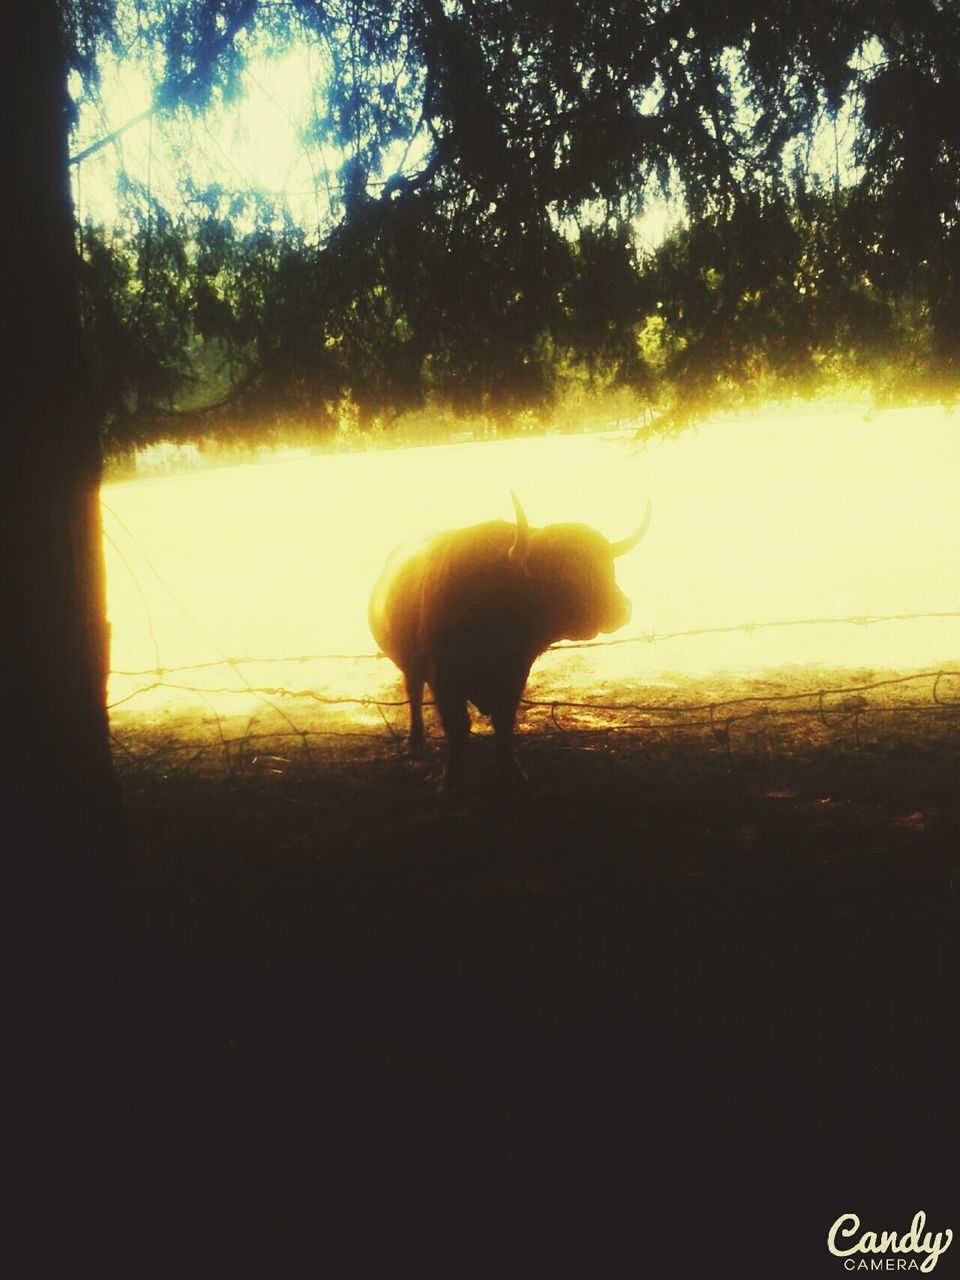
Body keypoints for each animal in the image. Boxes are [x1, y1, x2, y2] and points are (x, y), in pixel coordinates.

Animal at [371, 491, 655, 783]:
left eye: (609, 566)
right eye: (561, 568)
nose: (622, 609)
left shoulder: (516, 674)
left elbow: (504, 721)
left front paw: (512, 769)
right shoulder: (443, 678)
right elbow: (457, 727)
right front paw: (452, 778)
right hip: (411, 667)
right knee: (414, 695)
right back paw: (416, 740)